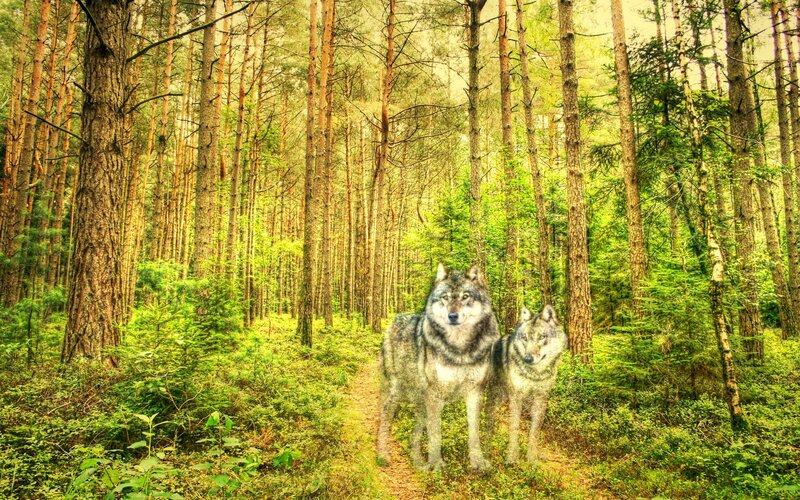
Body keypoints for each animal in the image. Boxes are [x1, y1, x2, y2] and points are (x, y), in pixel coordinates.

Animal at [377, 264, 499, 471]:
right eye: (445, 297)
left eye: (465, 296)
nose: (452, 316)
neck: (460, 351)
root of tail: (395, 319)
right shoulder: (435, 395)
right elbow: (436, 433)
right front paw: (436, 465)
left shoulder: (475, 392)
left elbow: (474, 432)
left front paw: (478, 462)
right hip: (395, 394)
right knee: (383, 421)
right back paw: (382, 456)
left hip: (420, 404)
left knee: (414, 434)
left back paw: (418, 463)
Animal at [486, 305, 567, 464]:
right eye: (525, 338)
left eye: (542, 337)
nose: (528, 359)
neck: (535, 374)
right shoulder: (516, 398)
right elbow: (514, 427)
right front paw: (512, 457)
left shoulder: (541, 399)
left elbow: (534, 431)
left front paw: (532, 459)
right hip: (494, 395)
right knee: (487, 415)